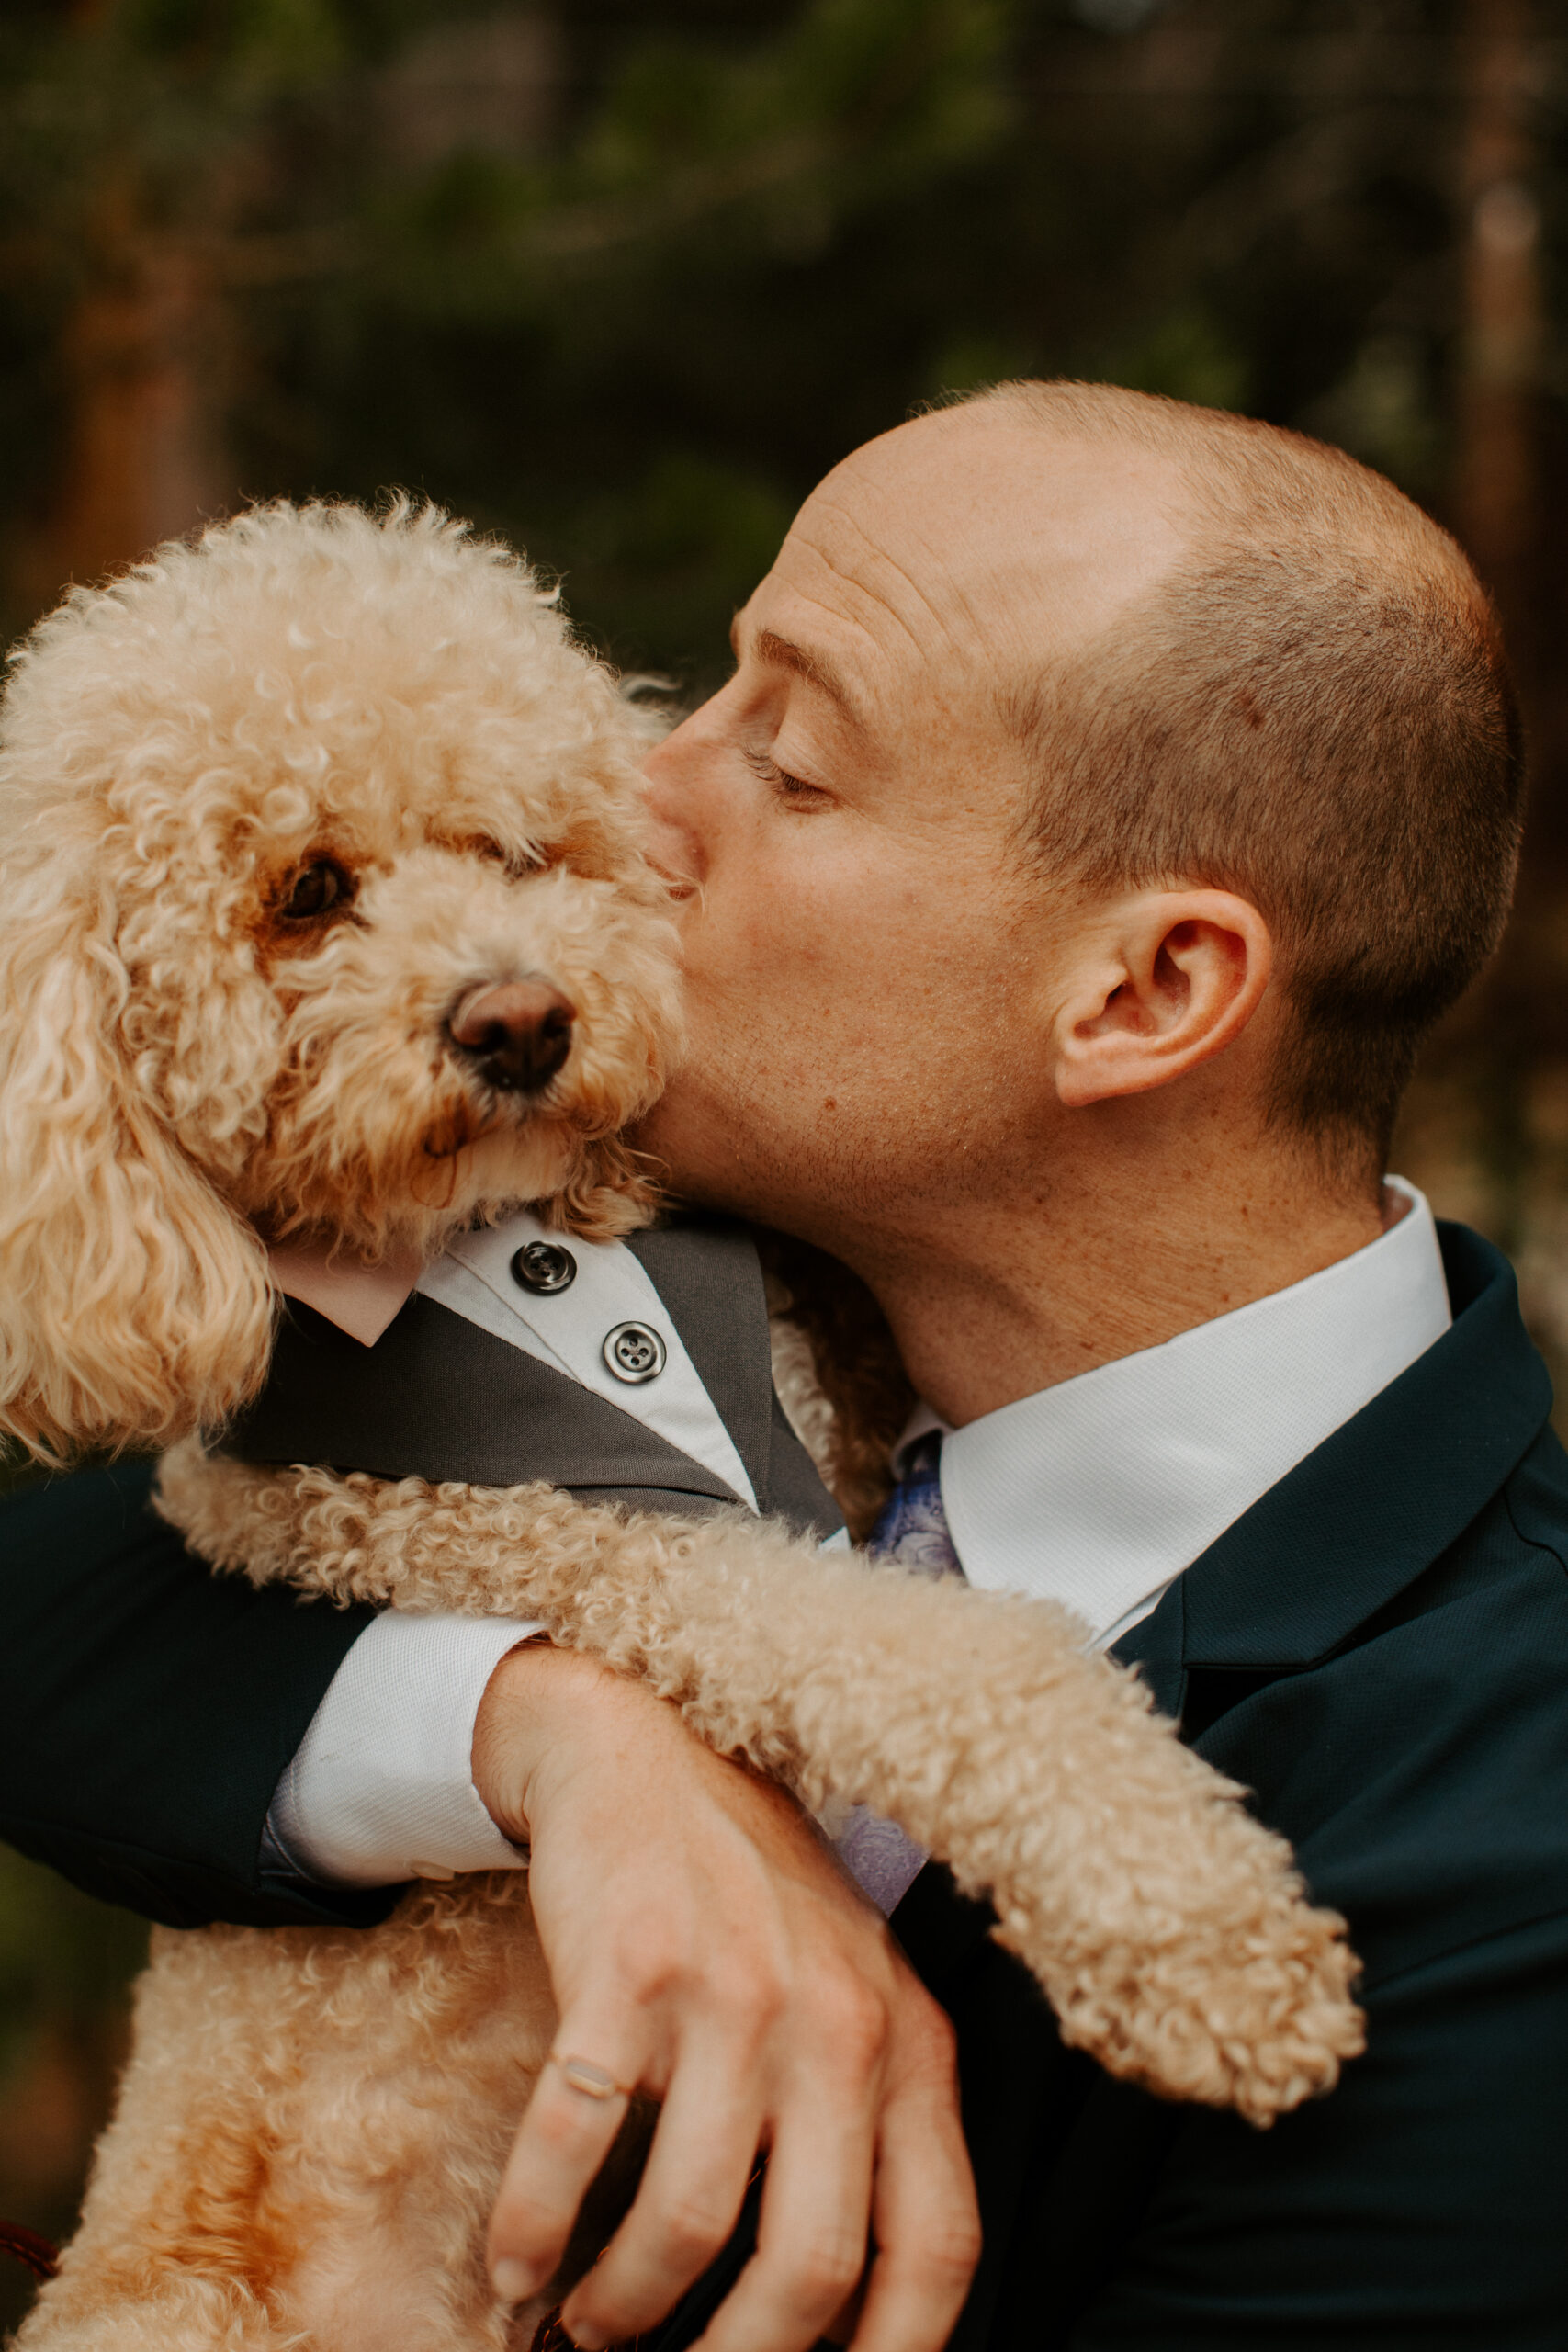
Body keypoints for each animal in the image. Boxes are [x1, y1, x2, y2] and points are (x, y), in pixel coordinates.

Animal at [0, 501, 1363, 2352]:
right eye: (307, 894)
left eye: (513, 847)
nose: (518, 1020)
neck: (508, 1244)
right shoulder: (574, 1545)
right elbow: (948, 1659)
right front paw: (1208, 1942)